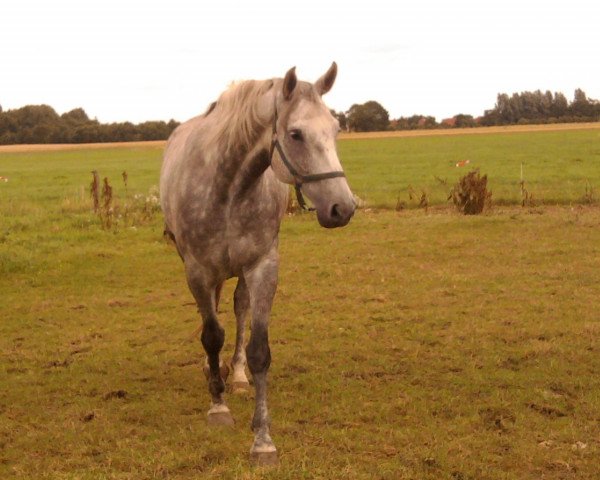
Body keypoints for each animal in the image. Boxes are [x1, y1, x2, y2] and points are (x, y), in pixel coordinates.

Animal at [161, 62, 356, 464]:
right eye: (295, 134)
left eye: (335, 130)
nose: (342, 208)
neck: (228, 188)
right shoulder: (197, 270)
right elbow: (211, 334)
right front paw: (217, 407)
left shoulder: (263, 267)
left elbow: (259, 350)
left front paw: (263, 440)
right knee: (213, 315)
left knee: (238, 309)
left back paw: (234, 375)